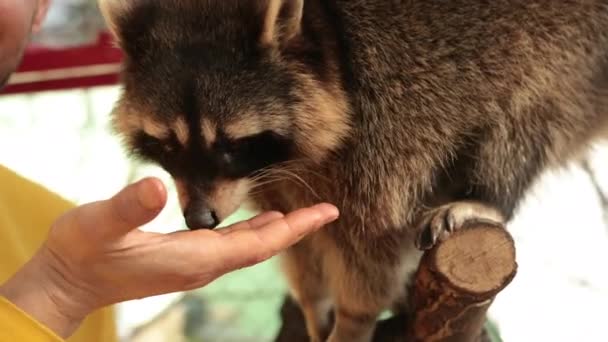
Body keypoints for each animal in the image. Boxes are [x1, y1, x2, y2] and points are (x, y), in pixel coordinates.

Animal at [98, 0, 608, 340]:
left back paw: (486, 195)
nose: (199, 220)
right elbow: (302, 240)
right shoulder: (275, 180)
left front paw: (353, 317)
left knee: (525, 109)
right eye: (167, 144)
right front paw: (313, 303)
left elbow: (374, 238)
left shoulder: (389, 121)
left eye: (231, 144)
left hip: (567, 47)